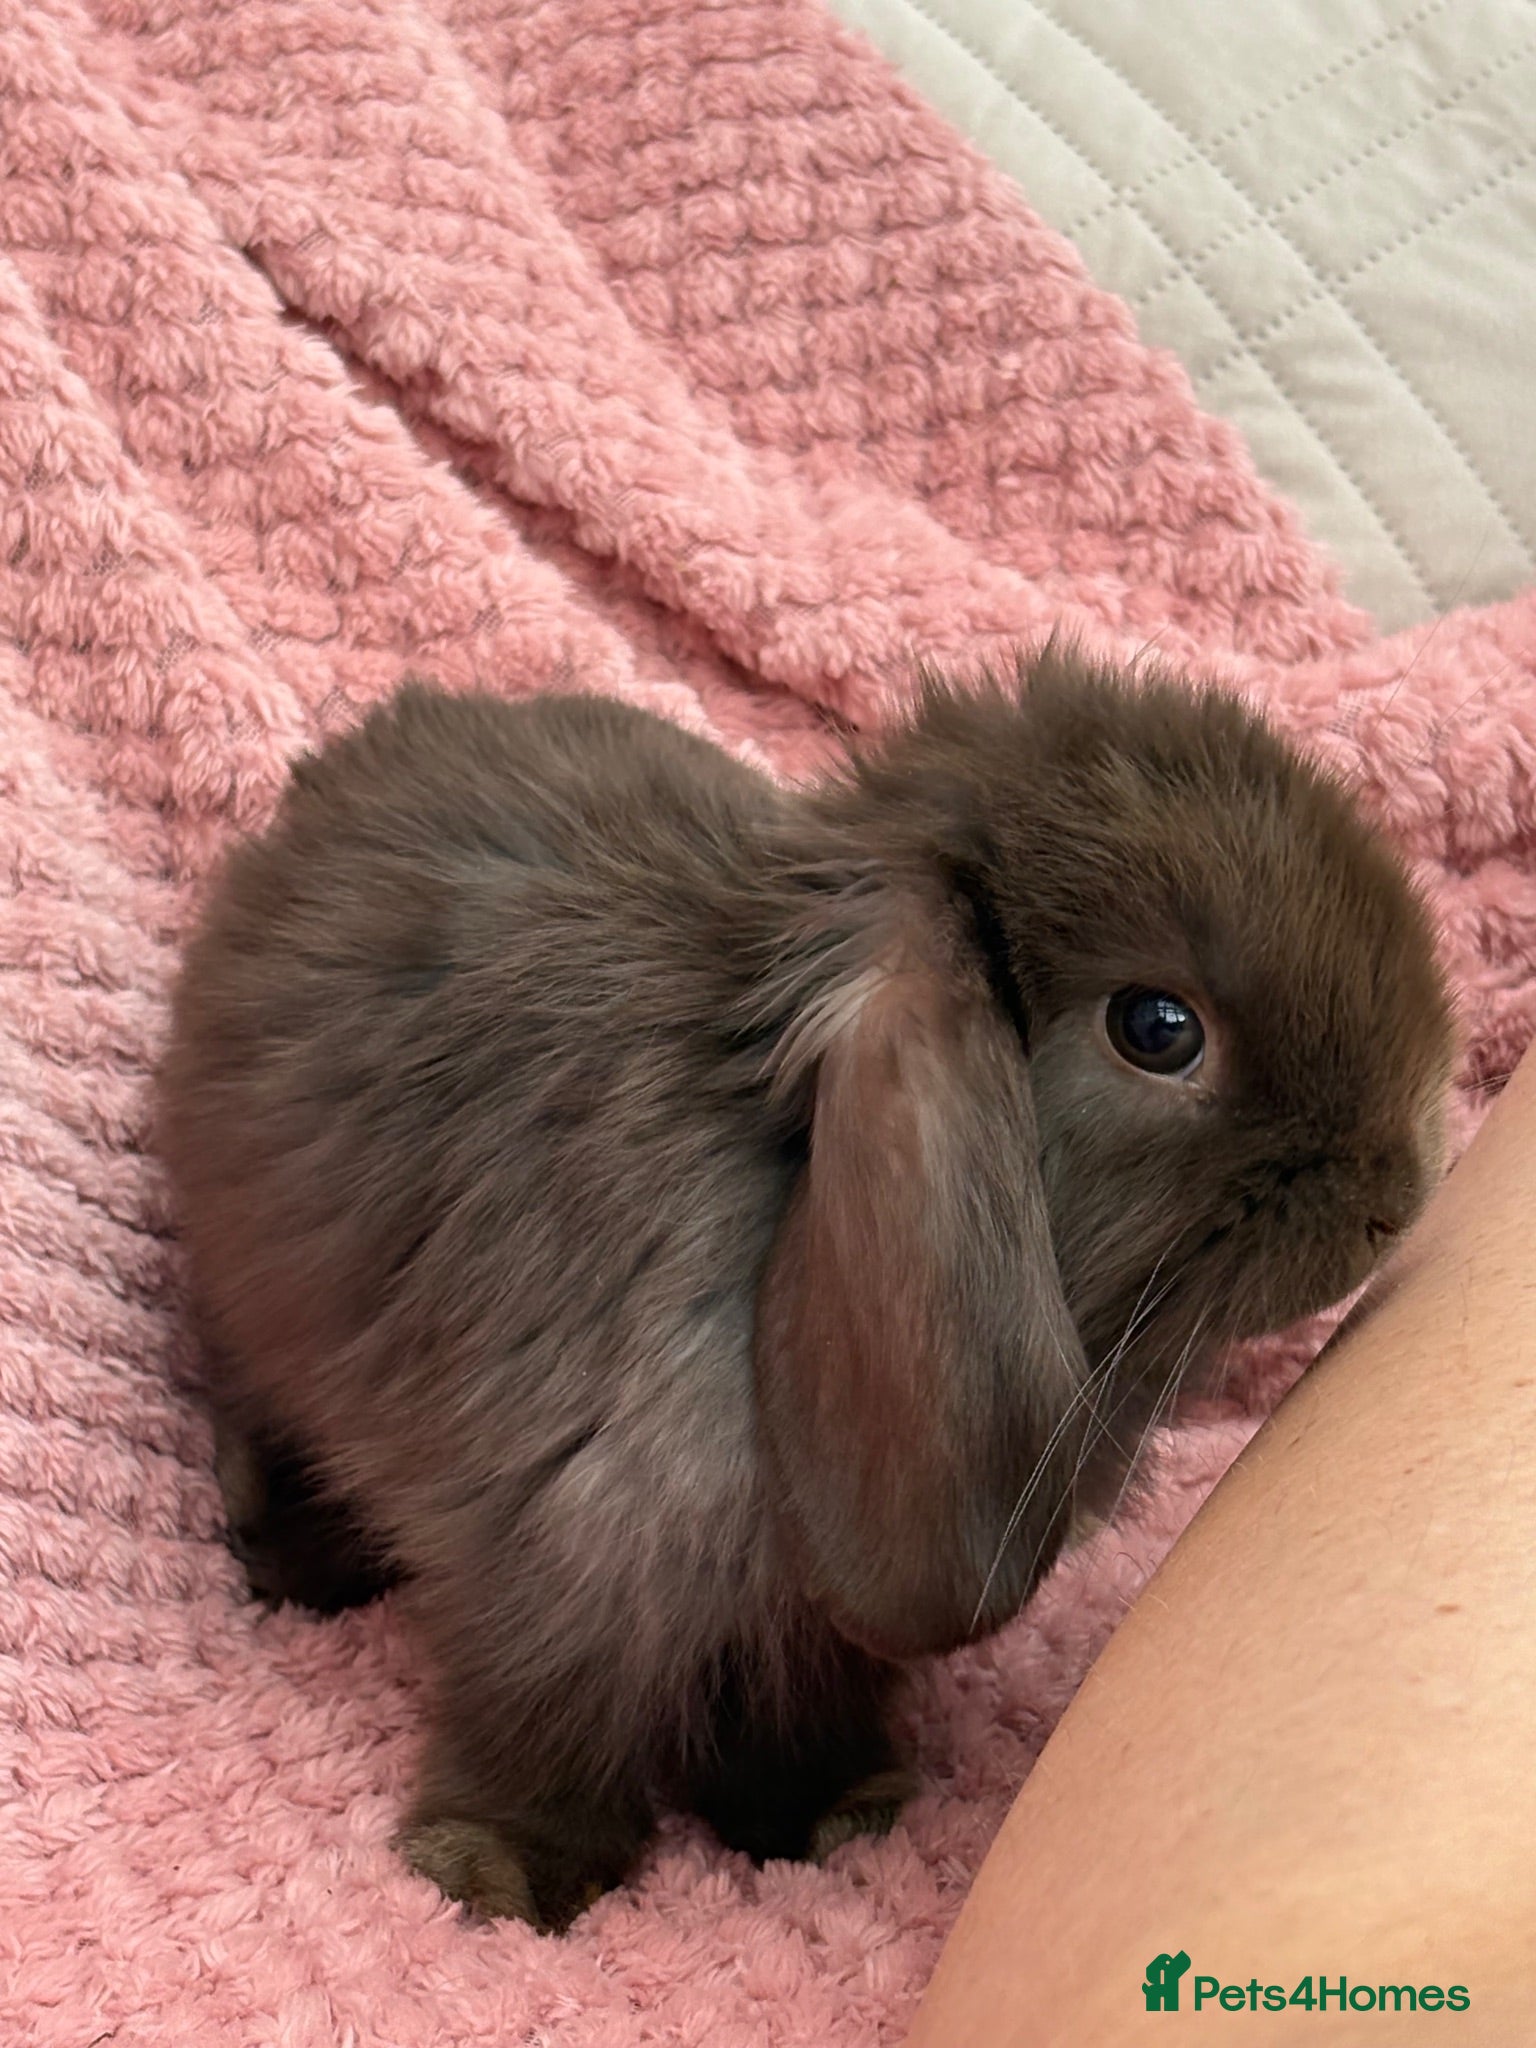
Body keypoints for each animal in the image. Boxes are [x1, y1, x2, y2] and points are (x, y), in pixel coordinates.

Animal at [156, 647, 1454, 1931]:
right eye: (1158, 1025)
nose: (1399, 1187)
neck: (788, 1176)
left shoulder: (803, 1615)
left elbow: (799, 1702)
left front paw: (833, 1813)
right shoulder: (564, 1547)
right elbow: (544, 1713)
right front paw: (503, 1876)